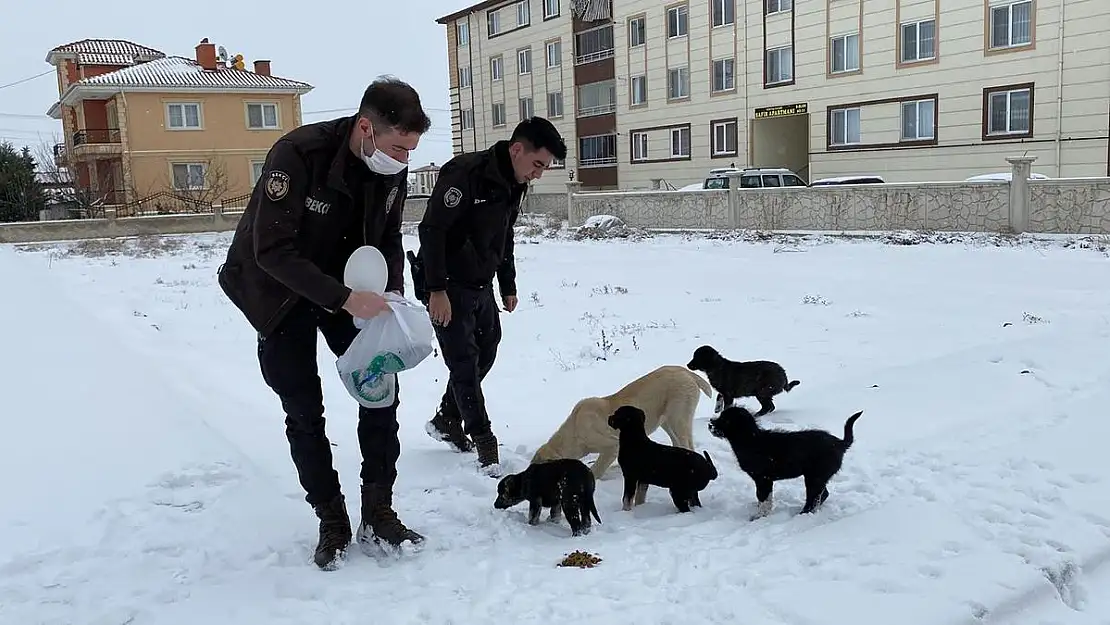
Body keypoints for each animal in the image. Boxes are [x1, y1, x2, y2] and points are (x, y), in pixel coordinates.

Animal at [528, 364, 710, 481]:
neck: (574, 433)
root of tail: (685, 372)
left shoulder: (611, 446)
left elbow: (597, 469)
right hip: (666, 419)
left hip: (677, 416)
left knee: (687, 443)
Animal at [705, 406, 861, 519]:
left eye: (726, 420)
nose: (710, 424)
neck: (750, 440)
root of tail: (840, 443)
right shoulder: (765, 480)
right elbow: (764, 498)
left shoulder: (763, 479)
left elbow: (763, 498)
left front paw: (760, 516)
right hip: (817, 477)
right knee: (823, 494)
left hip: (815, 477)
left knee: (814, 497)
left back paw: (803, 514)